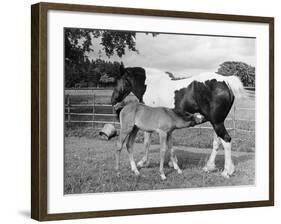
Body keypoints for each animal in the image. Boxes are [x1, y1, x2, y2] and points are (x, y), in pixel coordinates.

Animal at [111, 64, 245, 178]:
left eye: (118, 81)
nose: (113, 100)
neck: (150, 85)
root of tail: (226, 82)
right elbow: (169, 145)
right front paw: (172, 163)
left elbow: (147, 142)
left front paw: (143, 162)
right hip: (216, 122)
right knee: (217, 142)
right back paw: (211, 167)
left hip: (217, 122)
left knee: (226, 140)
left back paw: (226, 172)